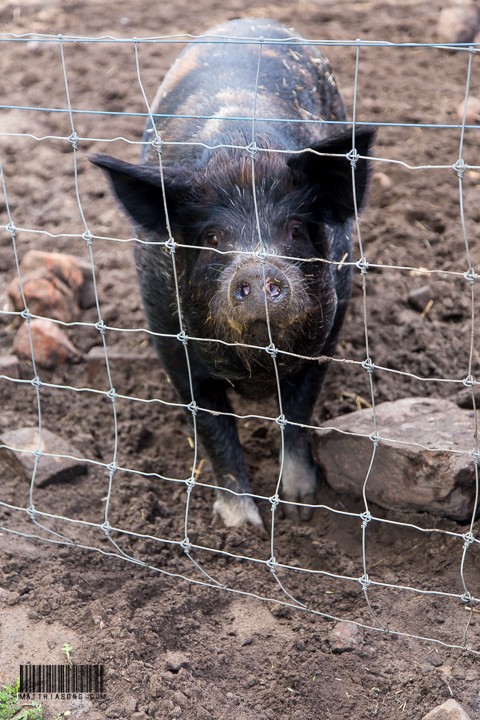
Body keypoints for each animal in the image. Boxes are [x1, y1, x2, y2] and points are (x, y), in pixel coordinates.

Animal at [92, 18, 374, 529]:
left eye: (295, 229)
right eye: (212, 238)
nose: (258, 270)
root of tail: (249, 20)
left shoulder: (328, 333)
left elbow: (297, 414)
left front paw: (300, 506)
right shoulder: (170, 341)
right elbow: (212, 426)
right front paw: (243, 526)